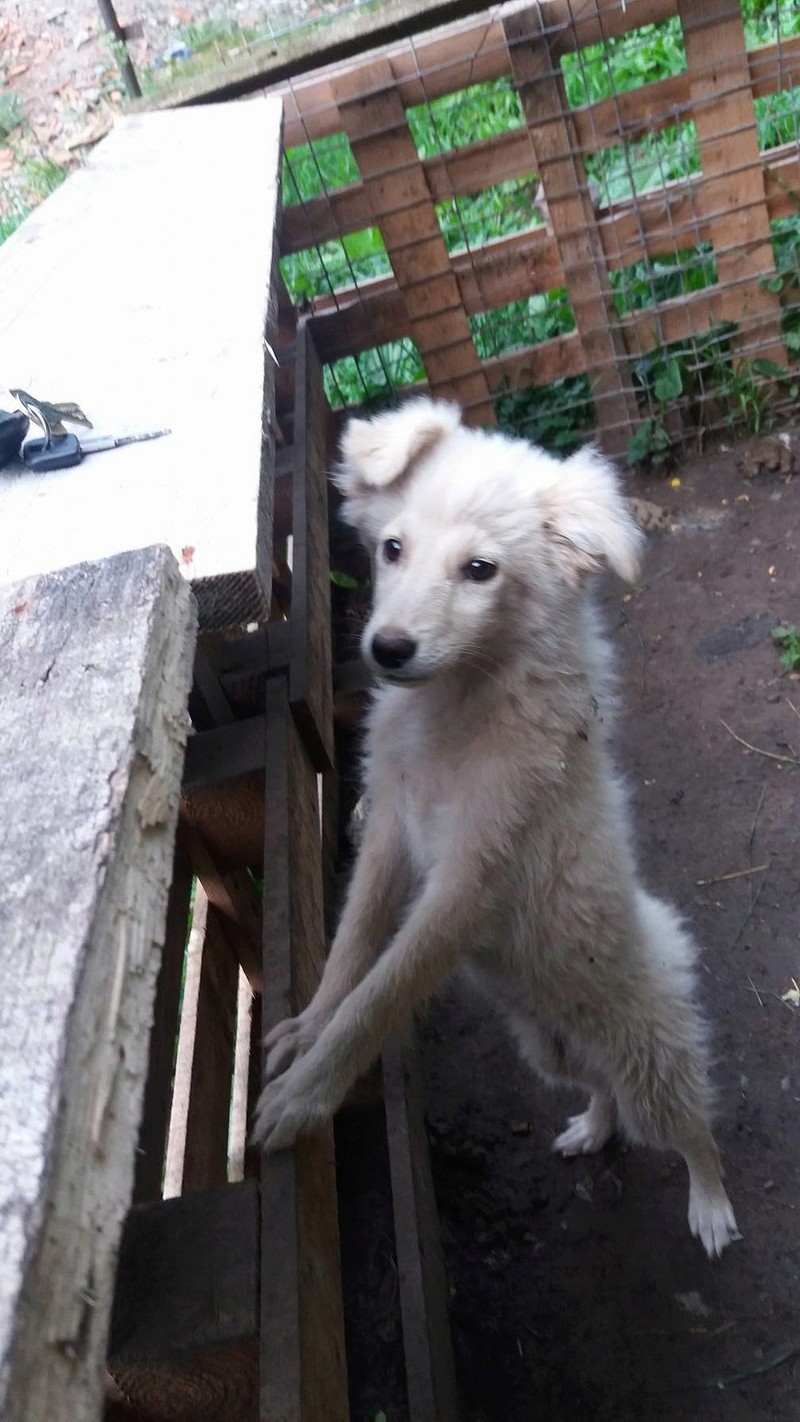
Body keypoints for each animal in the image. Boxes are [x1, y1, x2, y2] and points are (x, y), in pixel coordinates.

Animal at [255, 398, 738, 1257]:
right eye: (392, 549)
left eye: (481, 570)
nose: (387, 649)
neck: (457, 710)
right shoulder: (388, 831)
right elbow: (350, 950)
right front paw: (308, 1029)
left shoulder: (469, 881)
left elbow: (379, 996)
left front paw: (305, 1097)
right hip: (548, 1051)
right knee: (601, 1092)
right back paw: (590, 1129)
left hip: (649, 1059)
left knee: (690, 1127)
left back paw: (711, 1207)